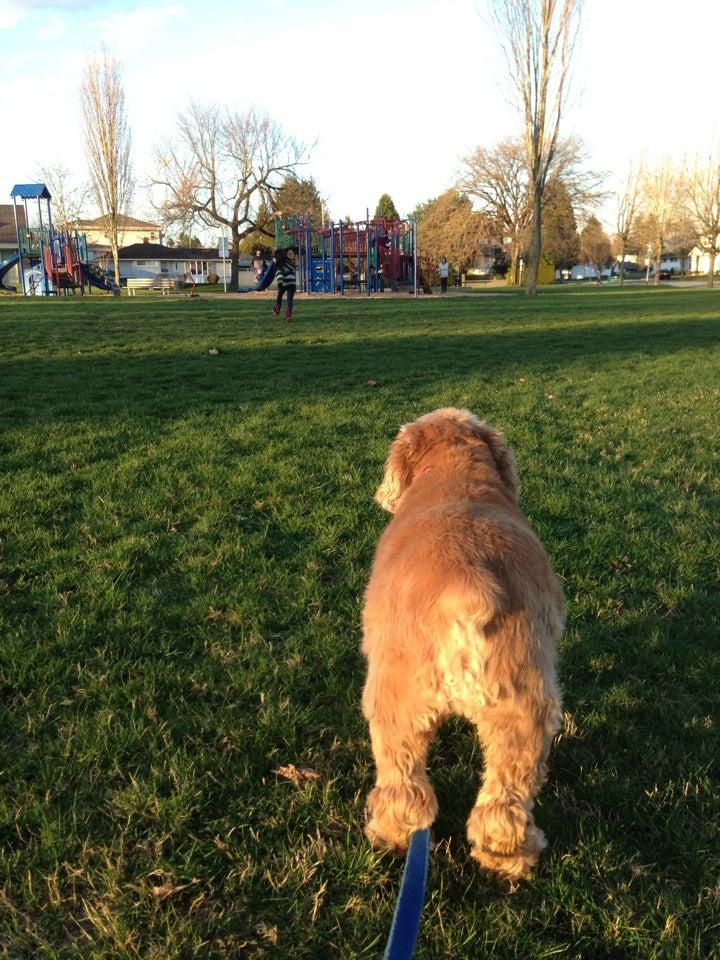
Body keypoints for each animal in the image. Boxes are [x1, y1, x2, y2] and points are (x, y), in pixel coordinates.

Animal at [360, 408, 564, 880]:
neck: (453, 470)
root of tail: (465, 585)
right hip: (519, 714)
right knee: (498, 806)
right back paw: (507, 860)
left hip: (394, 707)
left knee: (409, 793)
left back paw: (389, 837)